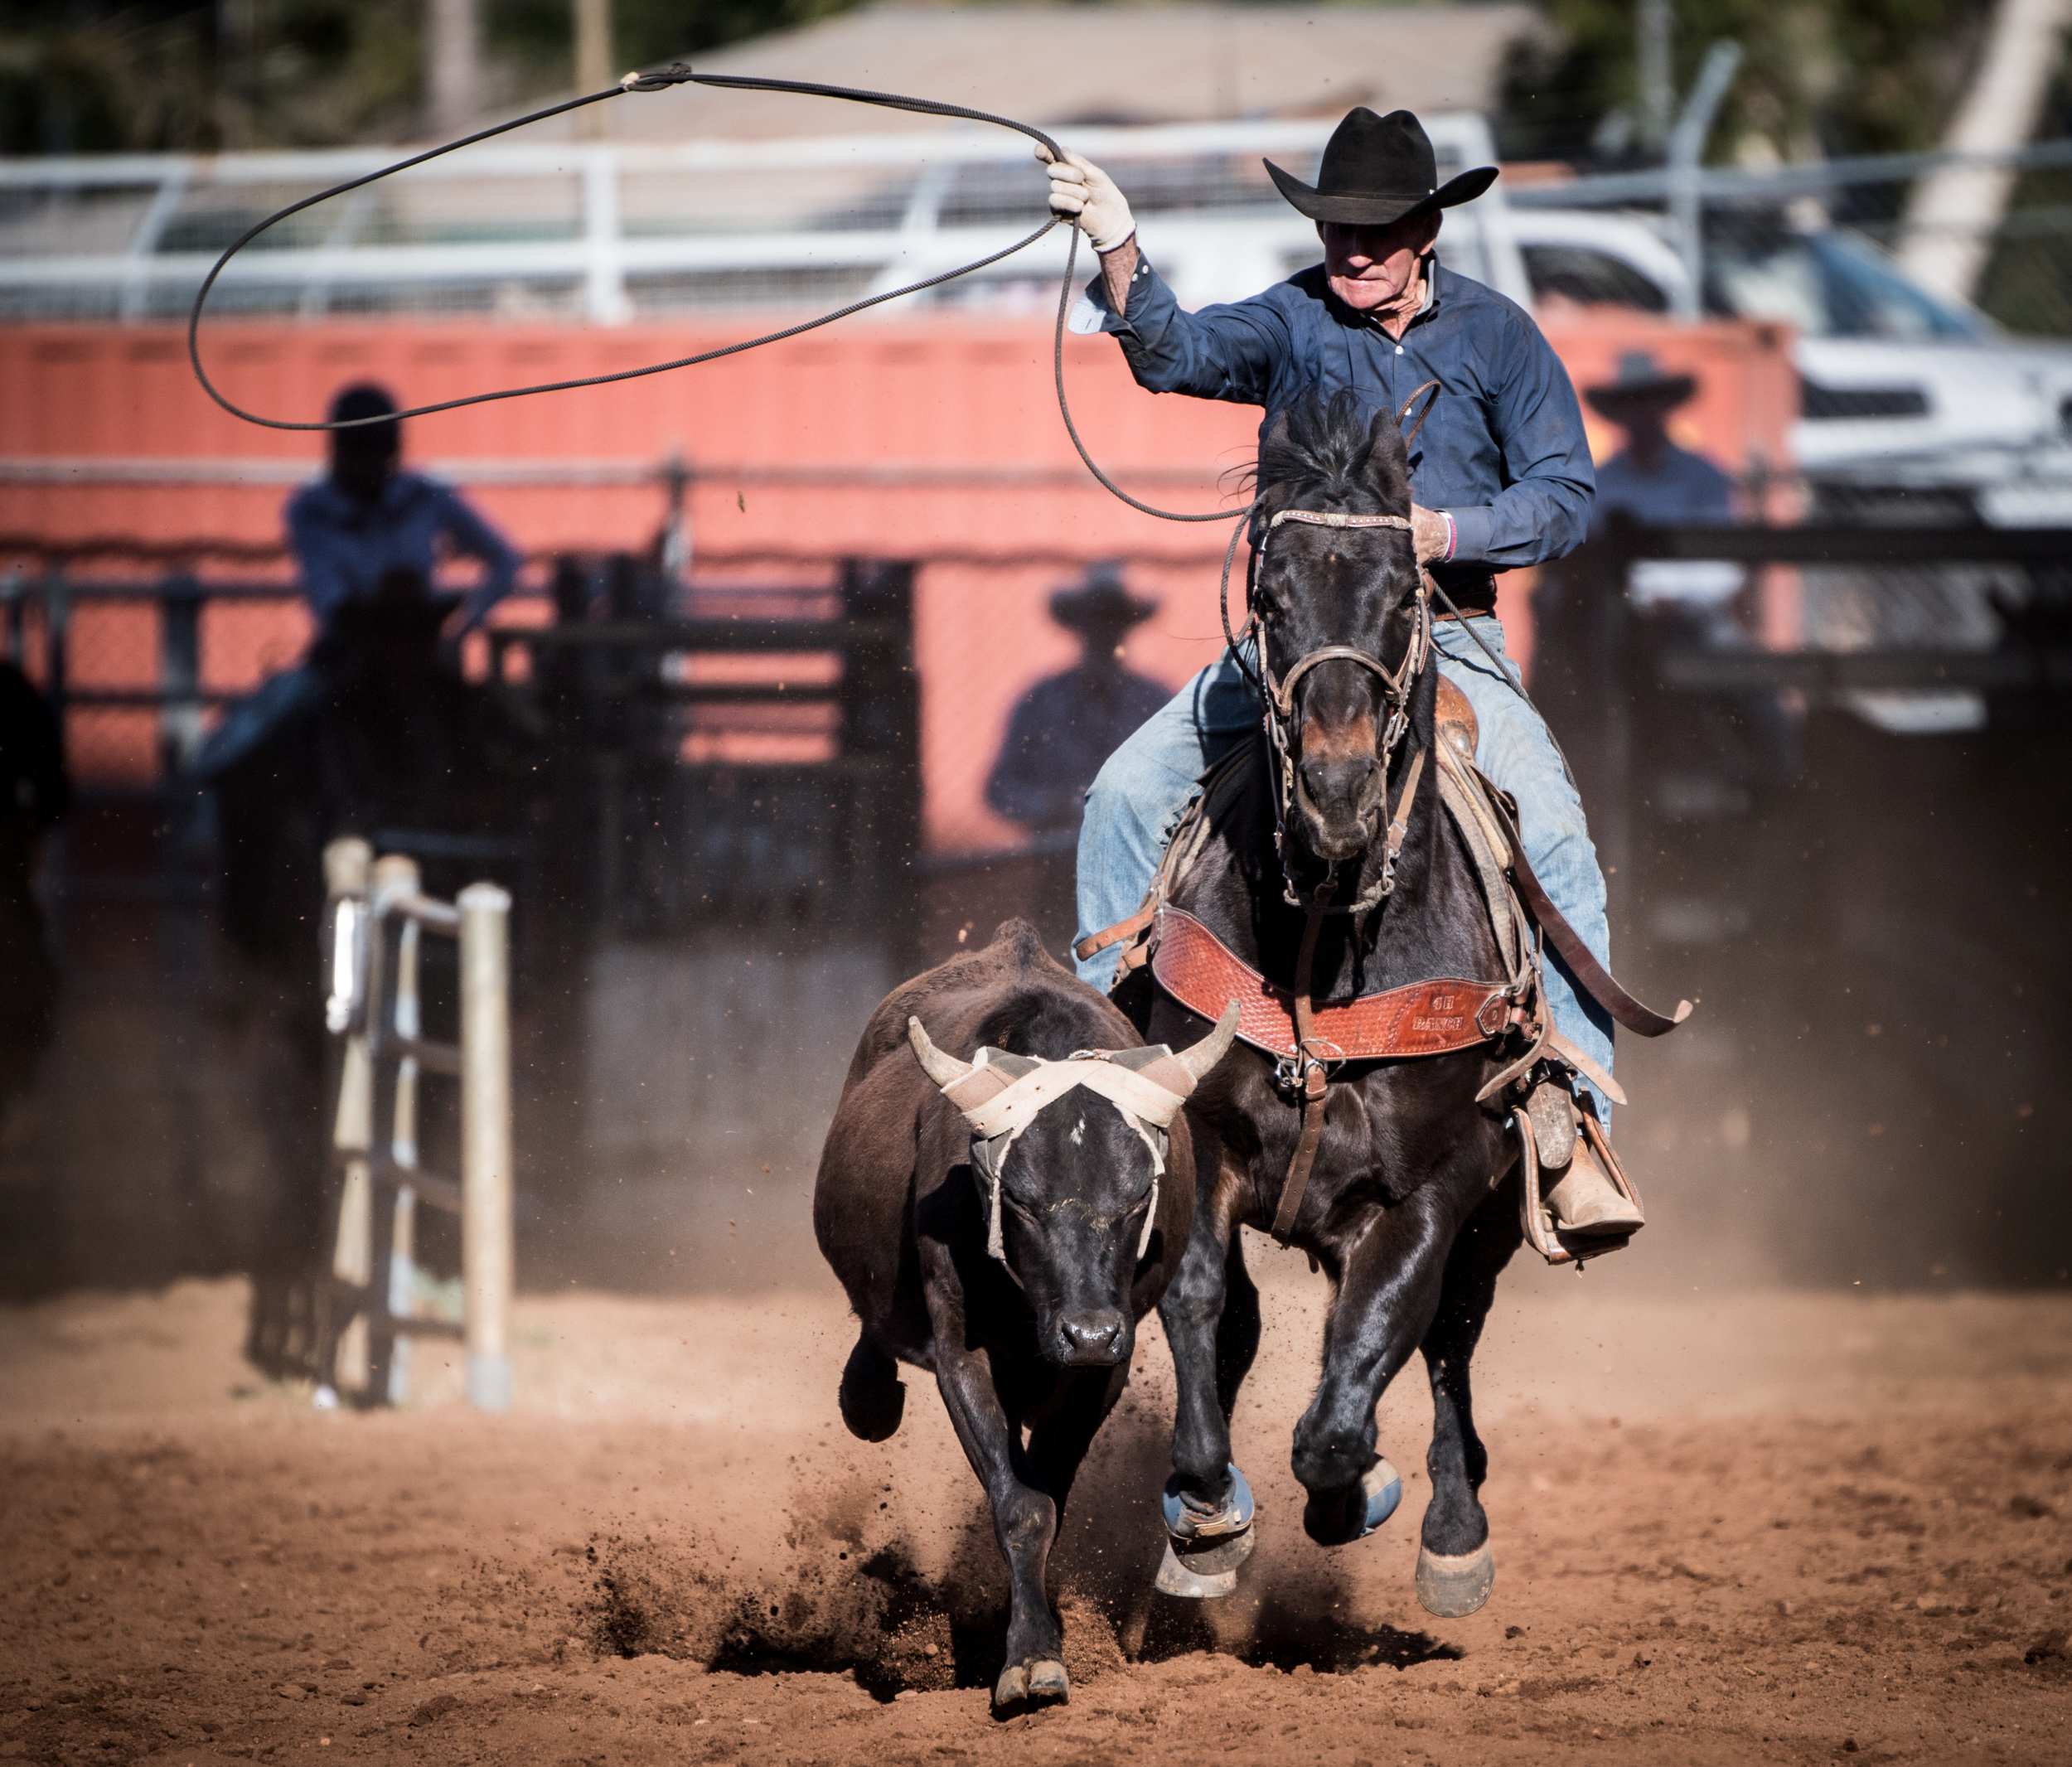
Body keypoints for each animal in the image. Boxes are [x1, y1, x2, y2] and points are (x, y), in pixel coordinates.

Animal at [814, 919, 1237, 1711]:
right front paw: (1031, 1658)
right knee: (875, 1352)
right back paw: (869, 1396)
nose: (1087, 1332)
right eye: (1021, 1201)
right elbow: (1022, 1505)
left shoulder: (1106, 1365)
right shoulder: (962, 1352)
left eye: (1137, 1196)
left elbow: (1050, 1492)